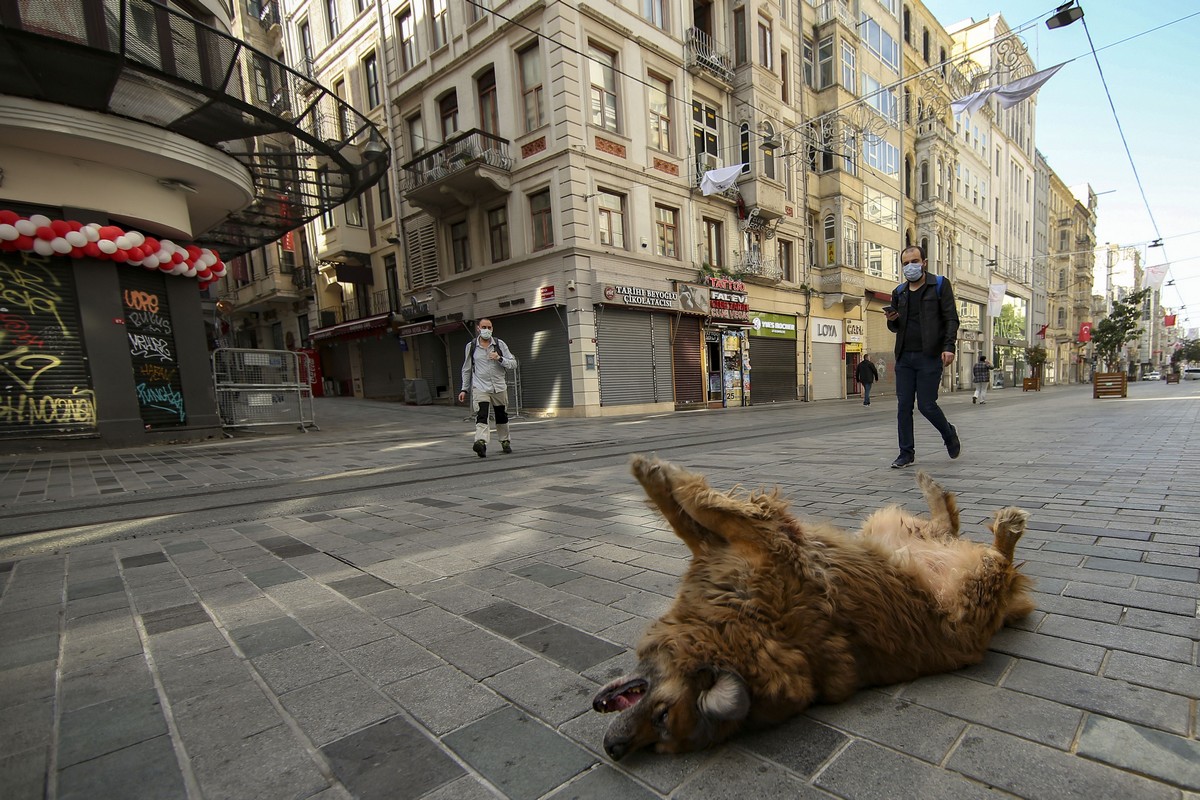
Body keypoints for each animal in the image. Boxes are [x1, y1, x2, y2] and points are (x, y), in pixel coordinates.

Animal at [590, 455, 1032, 758]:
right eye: (657, 741)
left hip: (967, 586)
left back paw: (1004, 527)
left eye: (662, 717)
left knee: (997, 557)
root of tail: (1006, 606)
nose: (616, 750)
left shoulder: (766, 544)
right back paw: (946, 497)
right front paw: (656, 475)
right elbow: (693, 516)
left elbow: (696, 512)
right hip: (889, 534)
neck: (746, 627)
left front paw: (650, 471)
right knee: (948, 528)